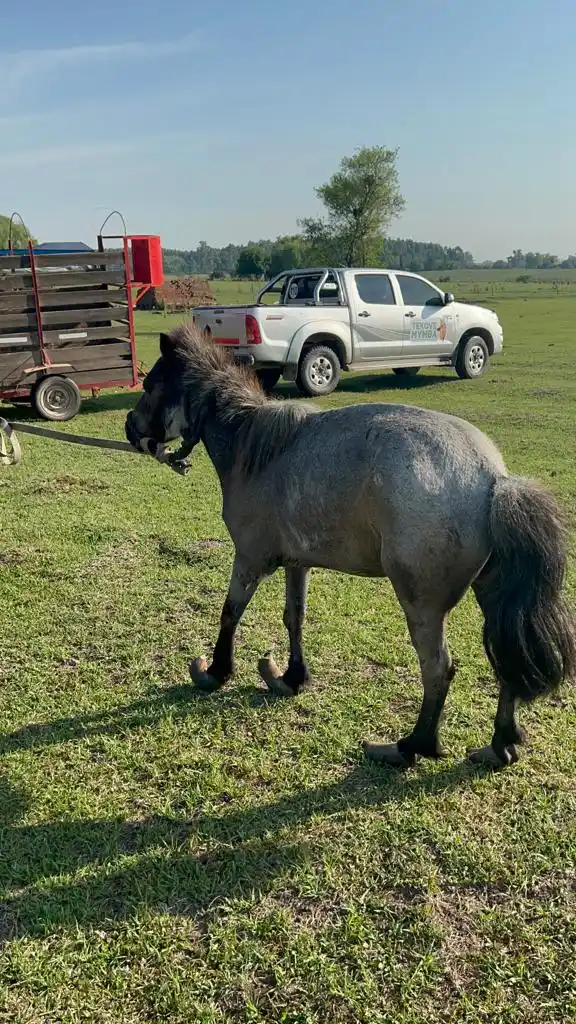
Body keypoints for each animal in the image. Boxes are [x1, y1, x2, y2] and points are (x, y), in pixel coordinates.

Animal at [125, 325, 576, 770]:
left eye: (149, 385)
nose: (130, 427)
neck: (254, 447)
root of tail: (493, 480)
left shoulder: (250, 560)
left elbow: (229, 614)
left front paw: (216, 672)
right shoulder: (297, 563)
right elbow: (294, 617)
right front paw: (291, 677)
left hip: (422, 606)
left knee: (438, 671)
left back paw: (411, 746)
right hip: (493, 595)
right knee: (506, 662)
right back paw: (499, 745)